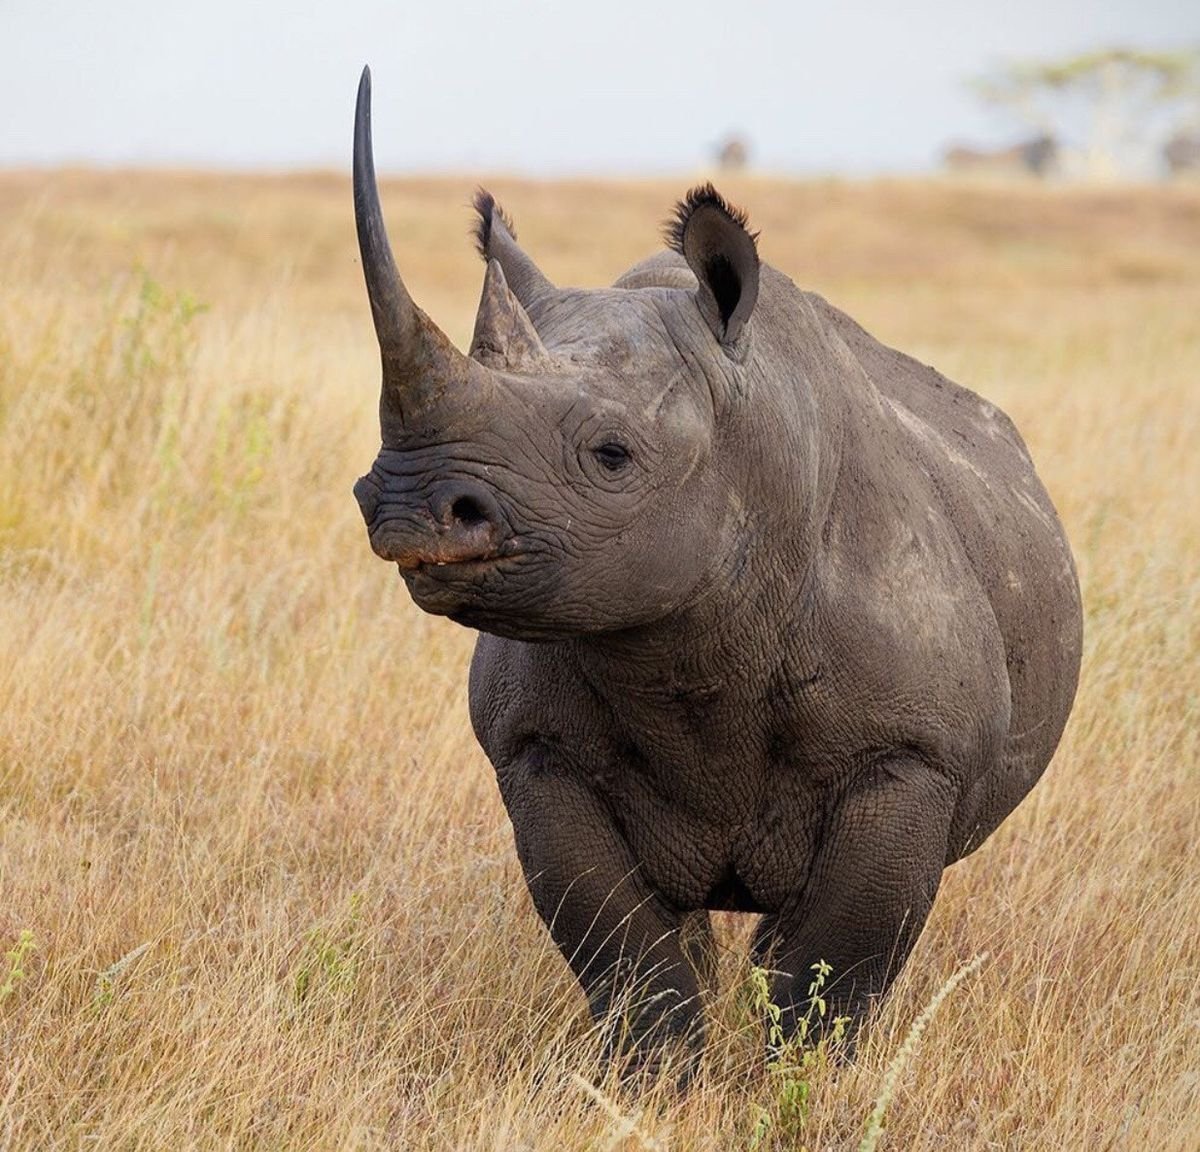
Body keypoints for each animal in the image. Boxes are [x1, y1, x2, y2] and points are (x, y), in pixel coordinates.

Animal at [349, 67, 1083, 1078]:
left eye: (612, 455)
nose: (406, 505)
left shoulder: (912, 754)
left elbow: (835, 963)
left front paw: (801, 1086)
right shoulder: (538, 748)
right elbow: (627, 953)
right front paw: (657, 1086)